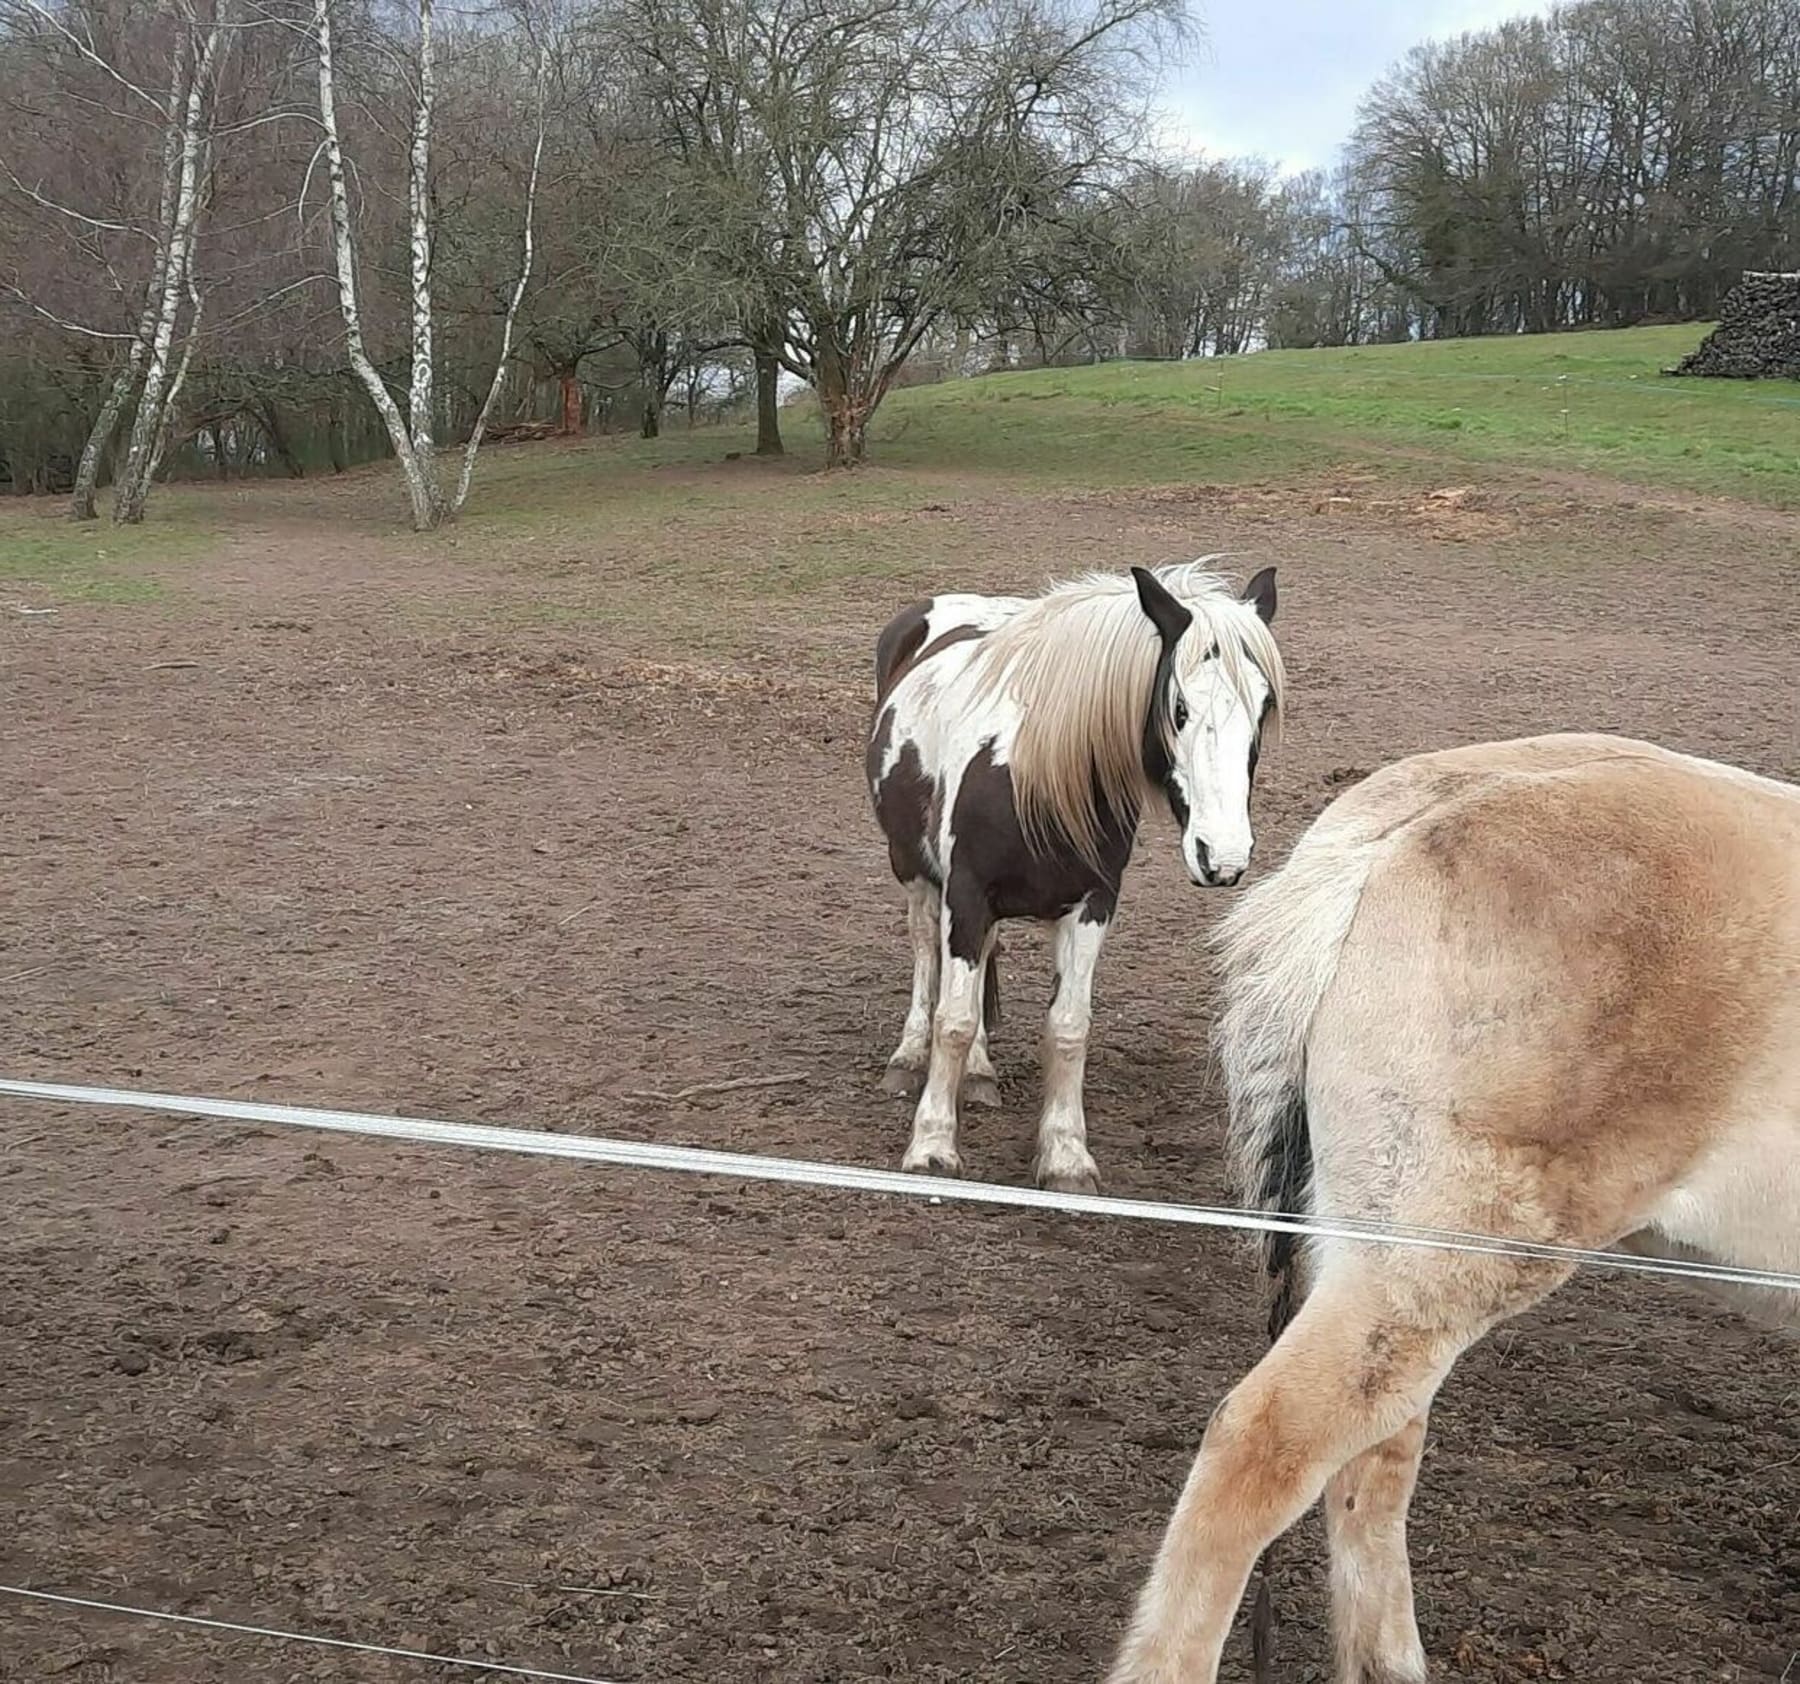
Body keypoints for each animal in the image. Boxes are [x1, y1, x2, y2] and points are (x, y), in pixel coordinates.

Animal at [867, 568, 1281, 1194]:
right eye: (1178, 707)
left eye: (1263, 708)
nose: (1224, 854)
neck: (1029, 773)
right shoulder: (966, 895)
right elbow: (953, 1020)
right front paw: (932, 1145)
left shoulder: (1092, 906)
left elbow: (1067, 1028)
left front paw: (1065, 1154)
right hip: (914, 871)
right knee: (923, 952)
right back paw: (909, 1057)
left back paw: (981, 1073)